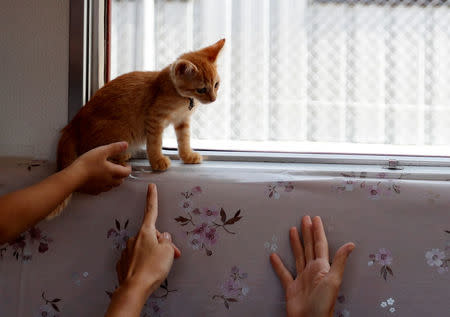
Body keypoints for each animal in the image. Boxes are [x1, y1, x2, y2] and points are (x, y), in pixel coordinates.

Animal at [49, 39, 225, 217]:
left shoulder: (182, 120)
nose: (214, 99)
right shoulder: (155, 118)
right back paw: (119, 158)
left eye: (216, 85)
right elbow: (155, 142)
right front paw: (157, 161)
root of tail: (74, 123)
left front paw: (188, 156)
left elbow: (184, 139)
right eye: (201, 89)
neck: (181, 99)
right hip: (120, 132)